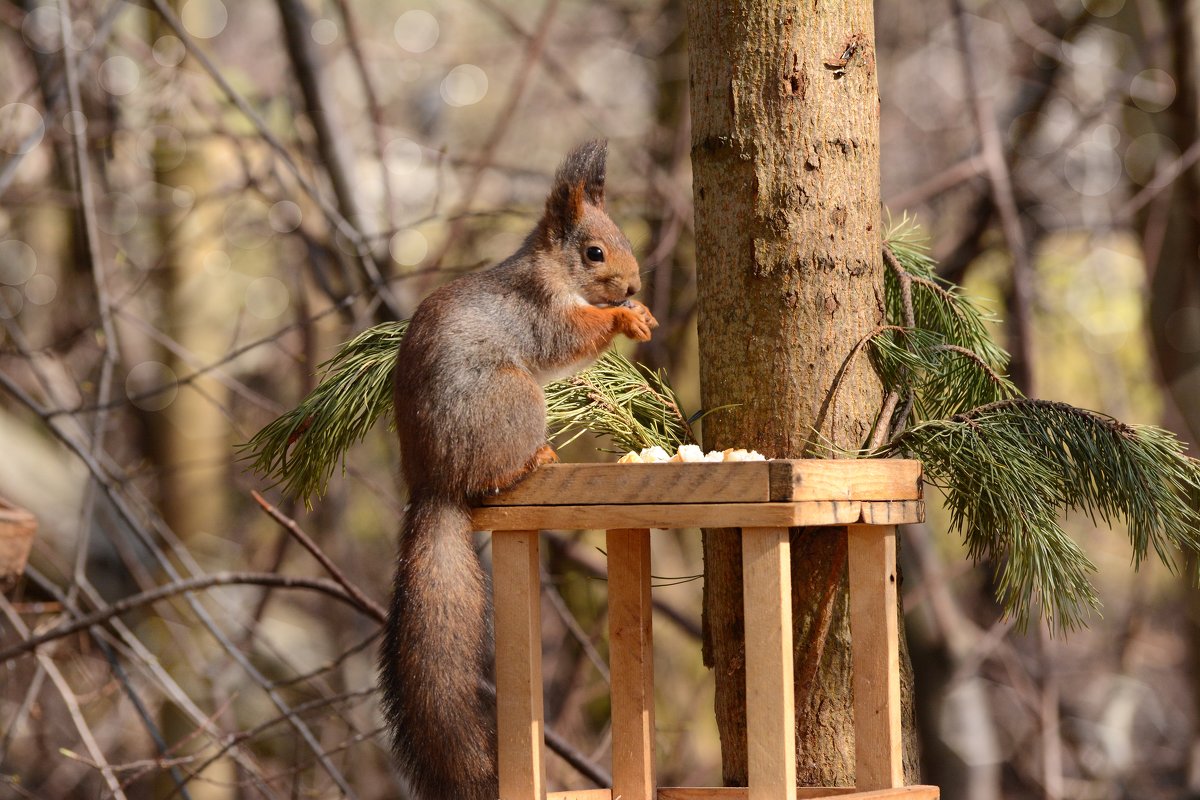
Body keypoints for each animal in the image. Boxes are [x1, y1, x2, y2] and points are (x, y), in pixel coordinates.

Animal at [381, 140, 657, 796]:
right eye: (594, 252)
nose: (633, 284)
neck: (553, 271)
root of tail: (432, 482)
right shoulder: (541, 312)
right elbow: (566, 339)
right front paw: (626, 319)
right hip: (516, 401)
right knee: (494, 473)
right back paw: (534, 459)